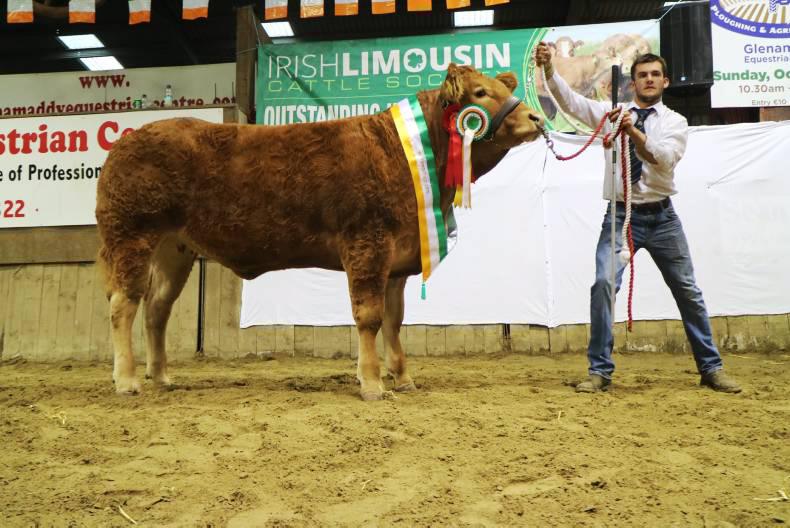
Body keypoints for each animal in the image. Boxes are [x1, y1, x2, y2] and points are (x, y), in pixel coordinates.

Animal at [95, 64, 544, 401]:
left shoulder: (397, 261)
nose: (537, 118)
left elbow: (395, 320)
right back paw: (128, 380)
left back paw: (161, 377)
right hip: (132, 234)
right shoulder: (368, 243)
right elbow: (369, 316)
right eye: (480, 92)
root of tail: (126, 142)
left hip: (175, 246)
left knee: (157, 308)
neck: (403, 152)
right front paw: (372, 383)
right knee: (122, 304)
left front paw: (403, 378)